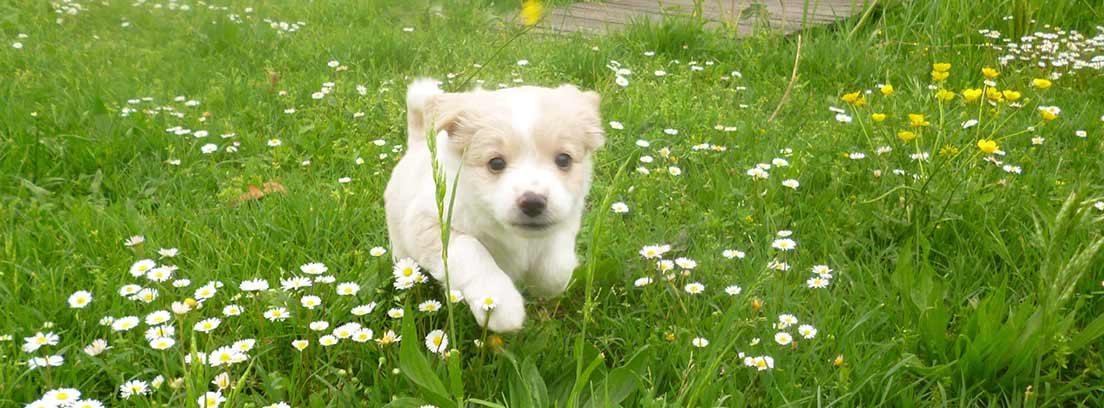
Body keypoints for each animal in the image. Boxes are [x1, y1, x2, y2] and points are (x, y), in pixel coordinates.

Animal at [381, 78, 604, 330]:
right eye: (496, 163)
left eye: (564, 159)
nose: (533, 202)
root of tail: (417, 144)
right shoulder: (429, 223)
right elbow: (471, 251)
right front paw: (500, 306)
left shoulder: (567, 216)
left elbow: (556, 264)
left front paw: (544, 284)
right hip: (401, 244)